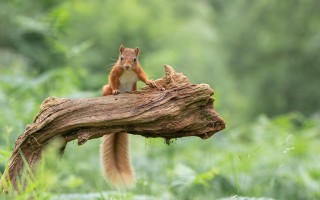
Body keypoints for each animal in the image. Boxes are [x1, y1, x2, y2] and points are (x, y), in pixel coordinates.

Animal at [99, 44, 156, 188]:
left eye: (135, 59)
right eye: (121, 58)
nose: (127, 66)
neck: (128, 72)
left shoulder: (138, 71)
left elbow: (144, 77)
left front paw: (151, 82)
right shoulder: (115, 71)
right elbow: (113, 80)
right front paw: (115, 90)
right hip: (105, 88)